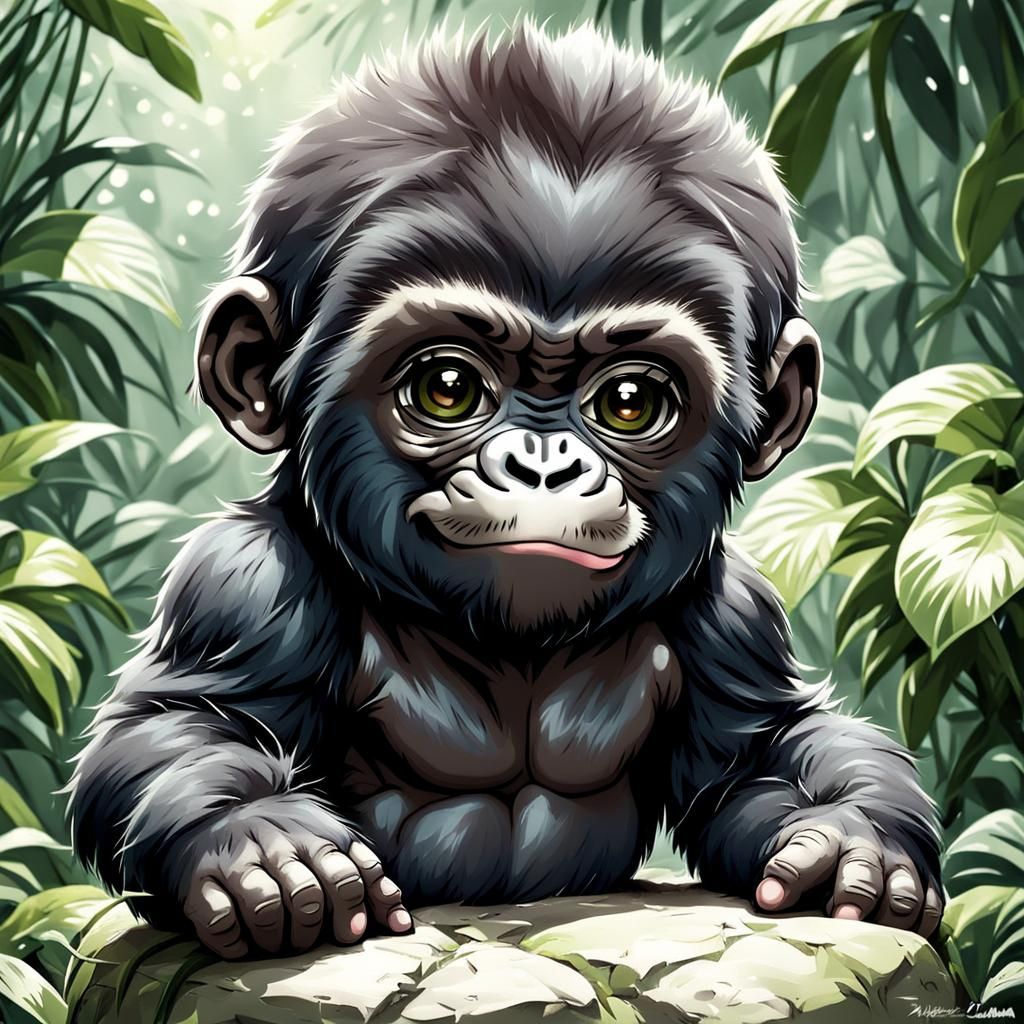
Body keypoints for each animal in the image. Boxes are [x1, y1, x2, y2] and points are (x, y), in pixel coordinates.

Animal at [68, 23, 943, 960]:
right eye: (448, 386)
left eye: (629, 401)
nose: (544, 466)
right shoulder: (245, 580)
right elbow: (184, 721)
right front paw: (260, 840)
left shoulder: (733, 611)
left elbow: (757, 757)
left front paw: (850, 839)